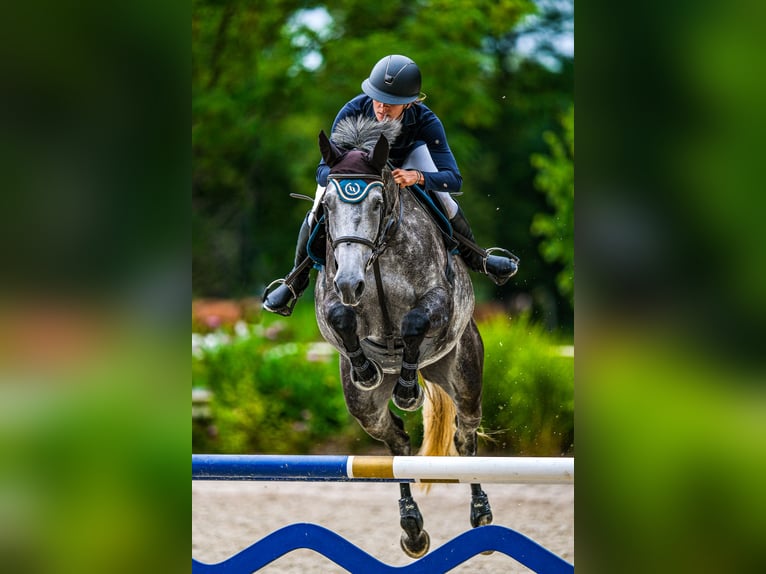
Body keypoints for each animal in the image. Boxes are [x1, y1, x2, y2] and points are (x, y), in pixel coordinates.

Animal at [313, 115, 492, 558]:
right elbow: (340, 316)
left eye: (377, 204)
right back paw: (412, 528)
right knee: (395, 440)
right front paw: (365, 368)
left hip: (462, 373)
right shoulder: (330, 298)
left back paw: (480, 513)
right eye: (327, 206)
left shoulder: (438, 301)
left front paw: (409, 391)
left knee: (465, 434)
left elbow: (413, 323)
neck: (376, 257)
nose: (350, 281)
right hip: (365, 410)